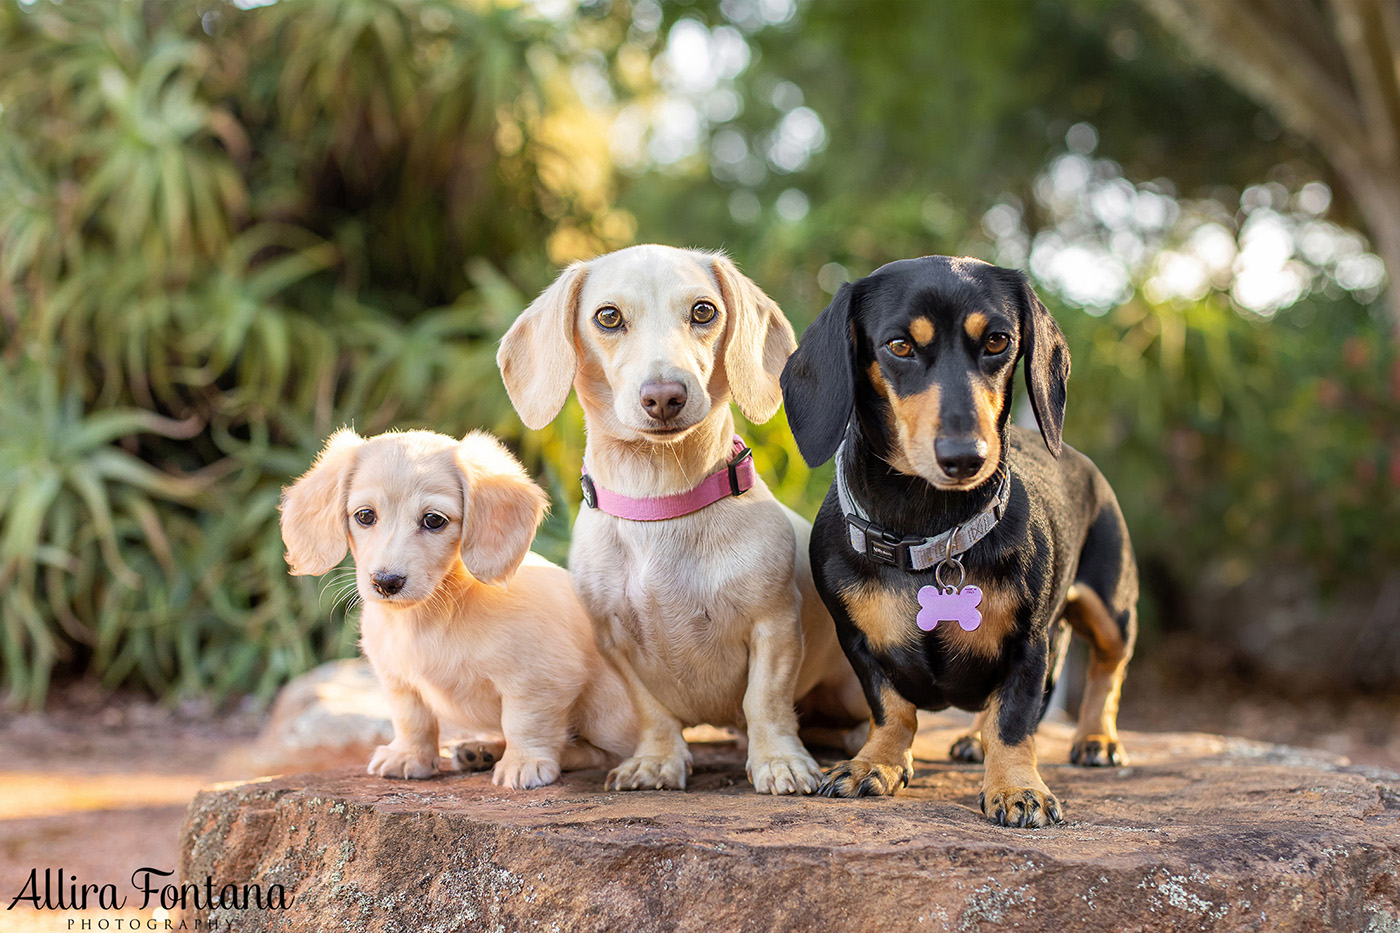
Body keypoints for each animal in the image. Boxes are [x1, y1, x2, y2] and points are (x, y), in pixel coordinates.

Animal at [277, 425, 635, 784]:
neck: (435, 614)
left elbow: (524, 722)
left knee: (605, 753)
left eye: (434, 520)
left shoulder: (539, 681)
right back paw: (481, 749)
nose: (386, 582)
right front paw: (409, 756)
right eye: (365, 516)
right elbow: (412, 720)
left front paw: (524, 763)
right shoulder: (399, 682)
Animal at [492, 245, 862, 790]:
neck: (661, 504)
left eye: (703, 311)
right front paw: (656, 760)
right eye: (608, 316)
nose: (665, 396)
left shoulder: (774, 627)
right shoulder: (614, 645)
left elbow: (765, 701)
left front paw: (779, 761)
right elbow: (652, 709)